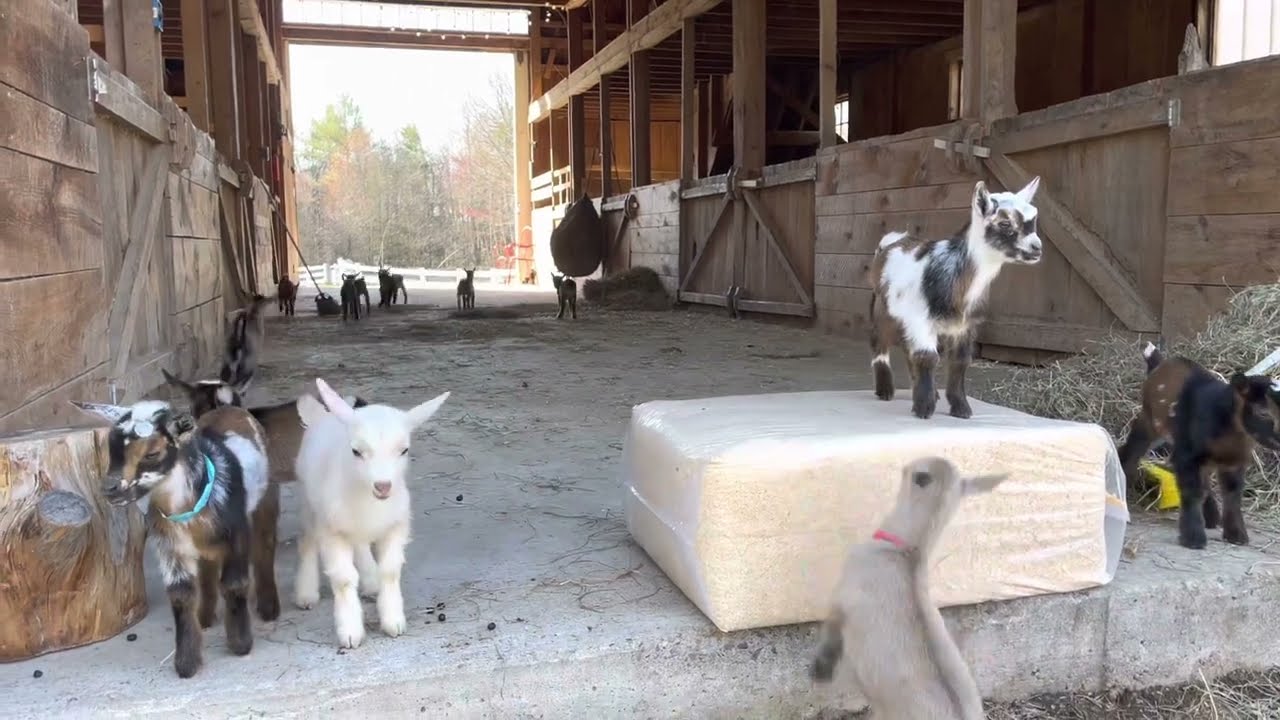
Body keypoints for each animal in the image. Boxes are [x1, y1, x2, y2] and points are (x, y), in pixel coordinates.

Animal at [71, 399, 278, 678]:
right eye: (111, 450)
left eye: (152, 453)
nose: (110, 489)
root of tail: (230, 407)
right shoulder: (169, 546)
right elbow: (181, 593)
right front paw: (187, 663)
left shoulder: (236, 533)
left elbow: (234, 583)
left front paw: (240, 644)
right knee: (207, 568)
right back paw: (205, 617)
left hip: (266, 500)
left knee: (265, 545)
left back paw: (269, 609)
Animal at [293, 378, 450, 648]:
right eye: (356, 451)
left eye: (404, 450)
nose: (383, 486)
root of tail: (323, 416)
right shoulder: (332, 529)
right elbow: (344, 579)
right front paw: (350, 632)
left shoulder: (397, 525)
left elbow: (390, 571)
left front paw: (393, 621)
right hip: (309, 502)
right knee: (308, 541)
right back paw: (306, 594)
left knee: (360, 545)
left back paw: (370, 580)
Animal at [868, 177, 1043, 420]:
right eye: (1005, 223)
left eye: (1033, 218)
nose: (1037, 248)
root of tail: (890, 243)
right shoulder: (921, 318)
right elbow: (928, 357)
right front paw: (924, 409)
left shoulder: (964, 326)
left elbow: (959, 362)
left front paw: (960, 408)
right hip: (883, 307)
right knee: (881, 341)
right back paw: (885, 390)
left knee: (907, 348)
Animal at [1117, 342, 1280, 549]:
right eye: (1263, 412)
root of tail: (1159, 363)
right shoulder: (1187, 454)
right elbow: (1192, 491)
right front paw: (1193, 538)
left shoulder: (1234, 462)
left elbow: (1233, 496)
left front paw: (1236, 535)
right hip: (1149, 421)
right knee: (1130, 452)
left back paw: (1212, 517)